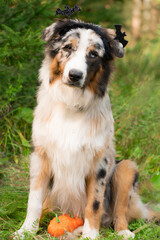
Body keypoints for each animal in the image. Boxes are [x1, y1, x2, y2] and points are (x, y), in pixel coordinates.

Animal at [14, 19, 158, 239]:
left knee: (119, 212)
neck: (72, 105)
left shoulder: (99, 162)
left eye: (93, 54)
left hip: (126, 168)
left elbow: (94, 204)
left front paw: (90, 234)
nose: (75, 75)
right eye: (67, 48)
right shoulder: (41, 156)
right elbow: (34, 200)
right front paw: (26, 230)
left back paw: (123, 231)